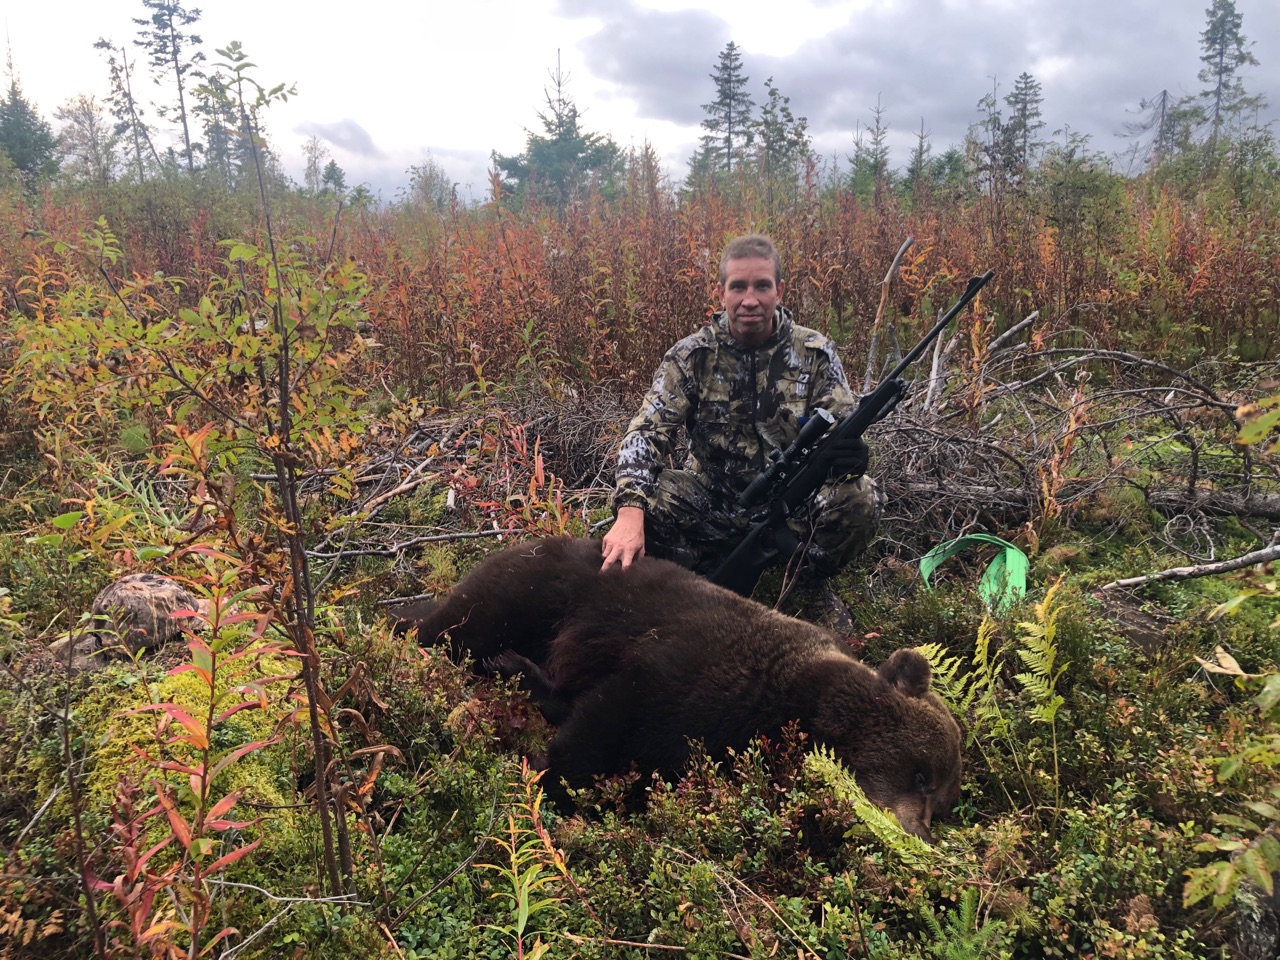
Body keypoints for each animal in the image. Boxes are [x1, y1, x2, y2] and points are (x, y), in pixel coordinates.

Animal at [389, 537, 962, 839]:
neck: (794, 697)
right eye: (920, 776)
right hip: (533, 592)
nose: (918, 834)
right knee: (457, 628)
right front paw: (555, 783)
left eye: (943, 803)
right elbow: (611, 720)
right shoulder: (691, 668)